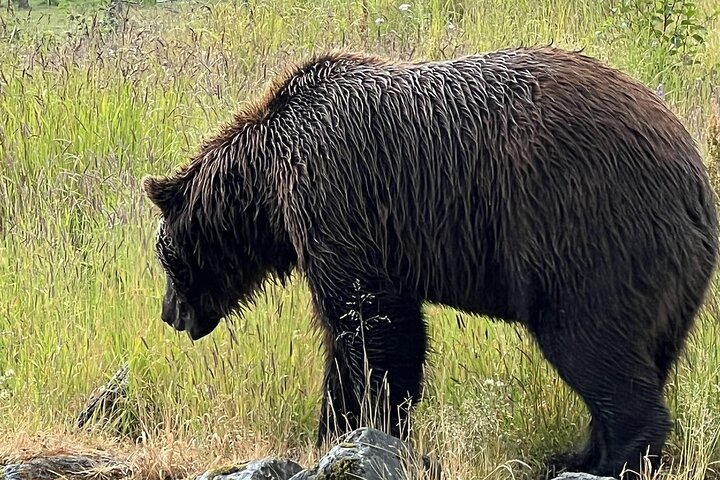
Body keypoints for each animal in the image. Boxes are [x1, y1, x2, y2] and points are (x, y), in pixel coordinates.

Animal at [142, 47, 720, 476]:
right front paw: (343, 426)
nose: (169, 314)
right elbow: (371, 327)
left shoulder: (335, 198)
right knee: (640, 356)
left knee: (592, 343)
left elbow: (368, 324)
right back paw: (579, 452)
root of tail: (693, 173)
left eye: (165, 258)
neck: (266, 187)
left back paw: (611, 459)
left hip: (588, 235)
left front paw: (351, 424)